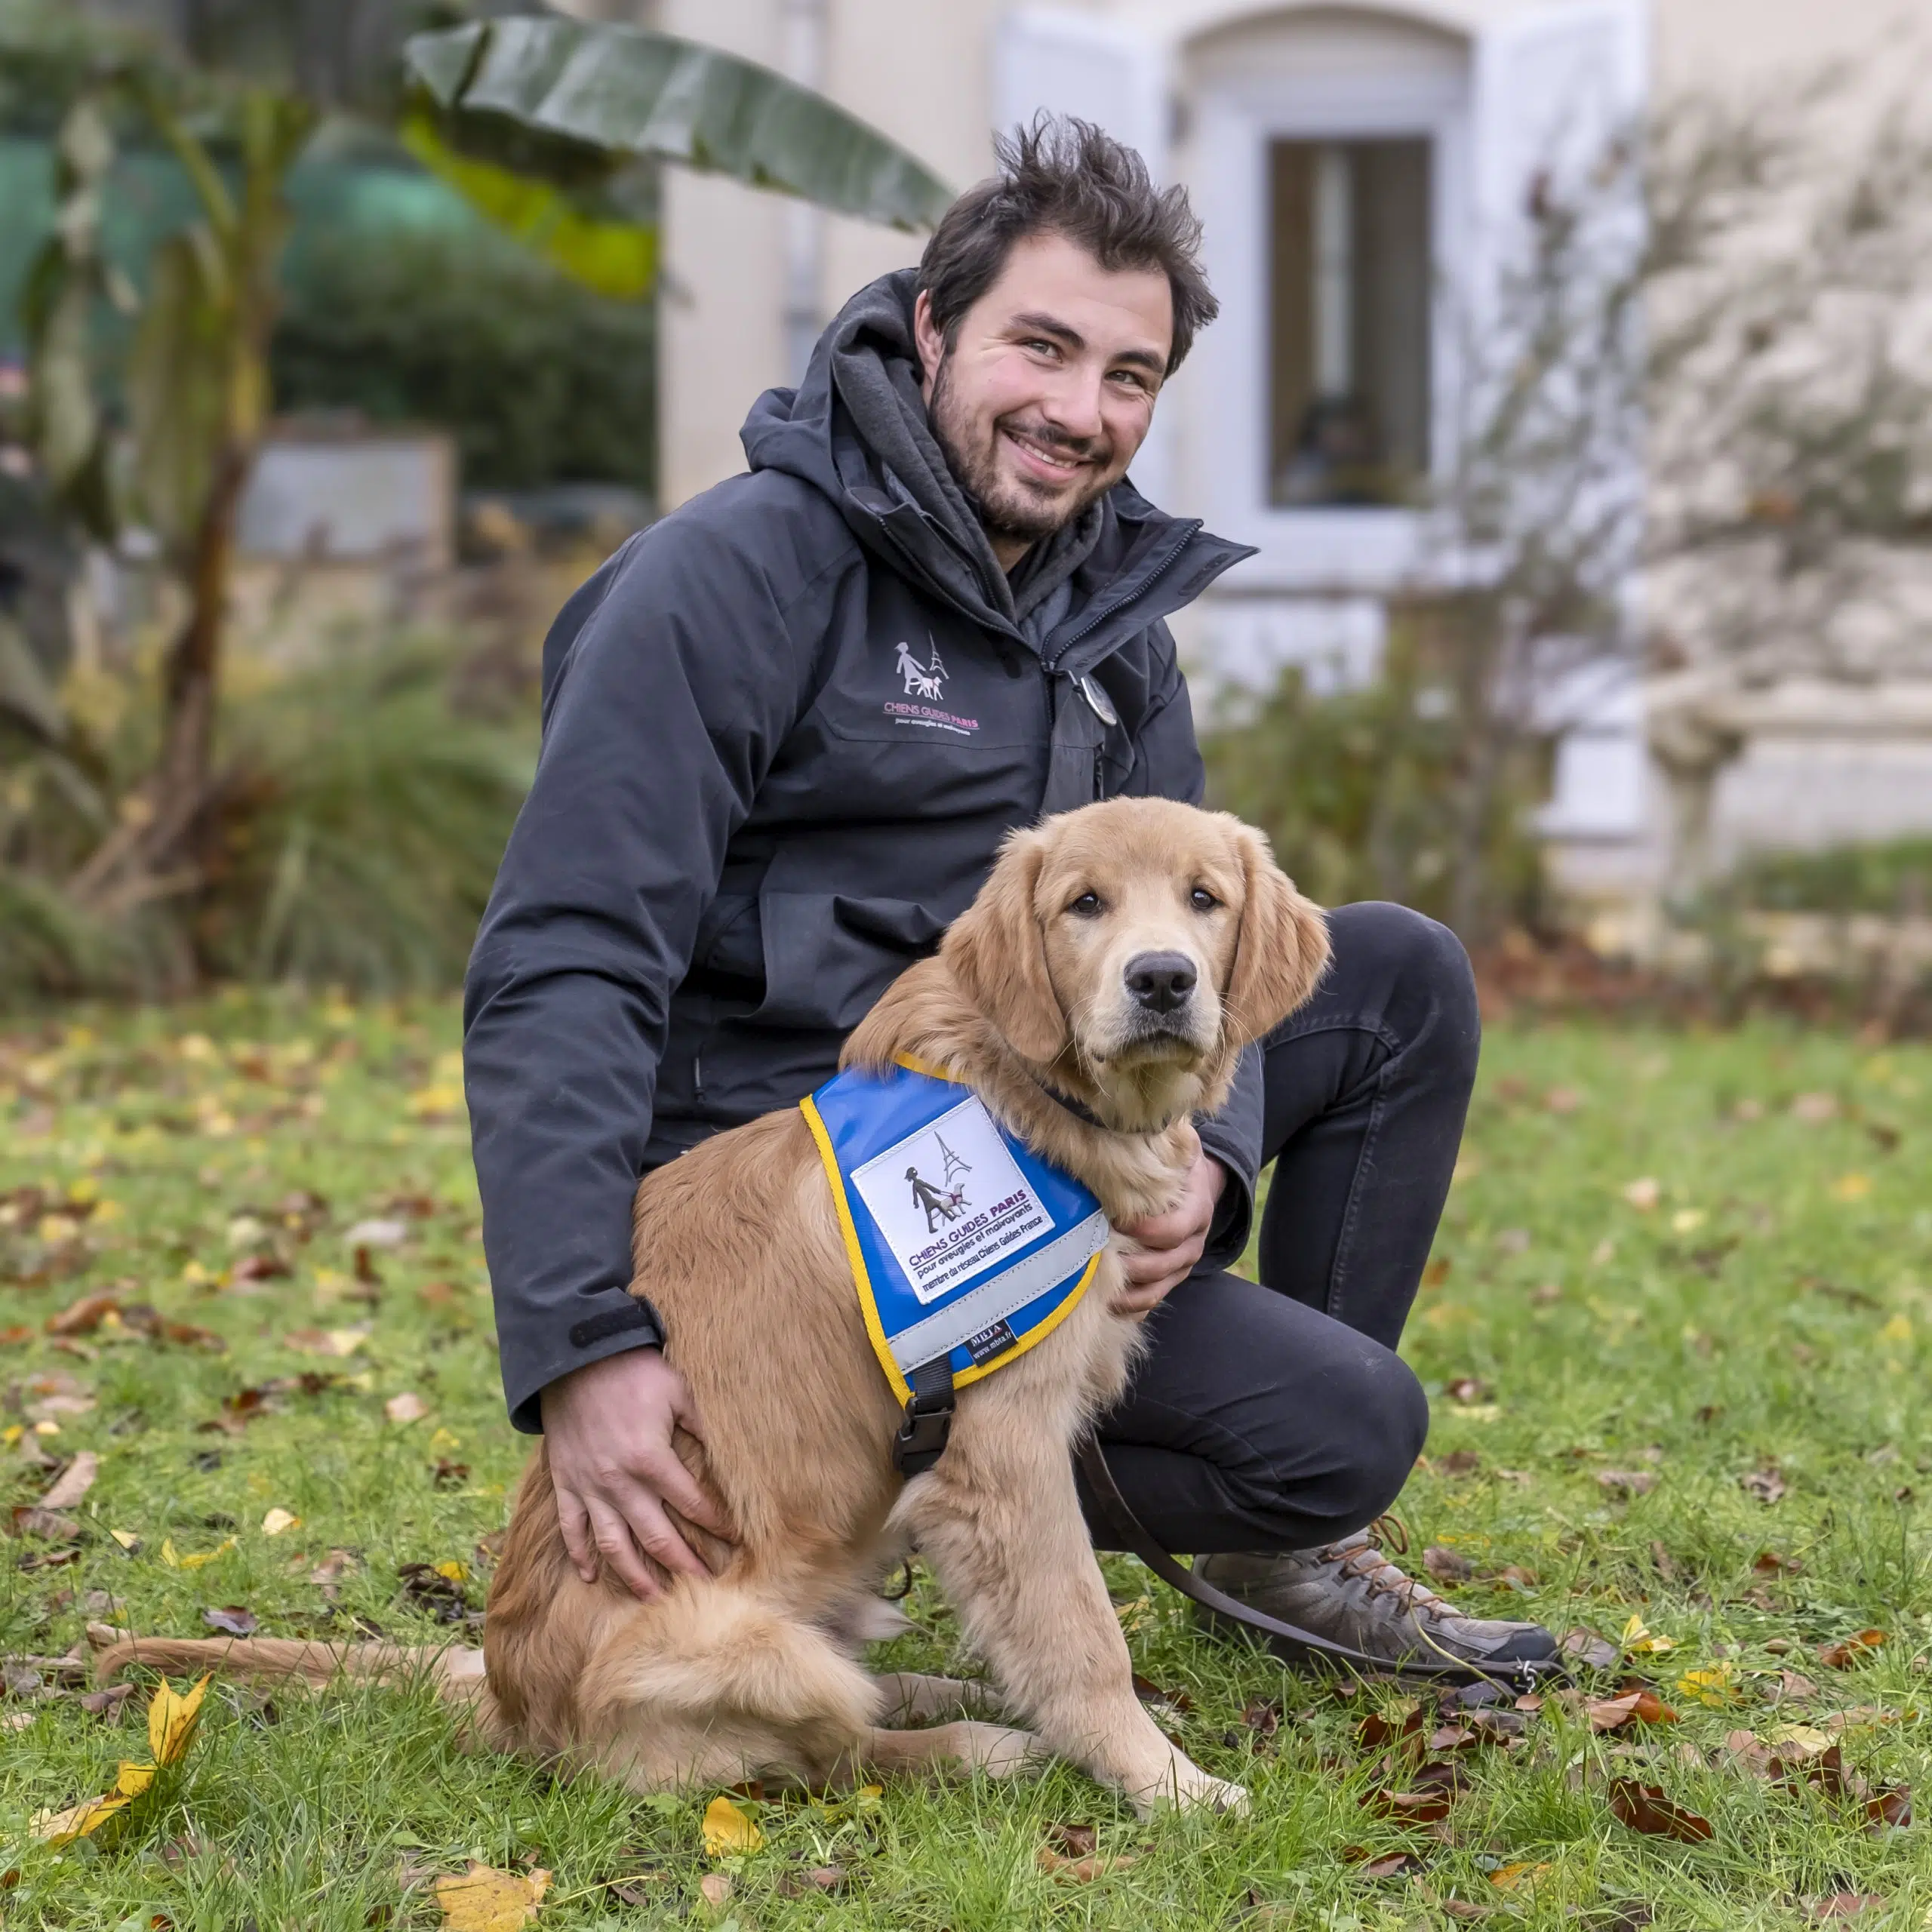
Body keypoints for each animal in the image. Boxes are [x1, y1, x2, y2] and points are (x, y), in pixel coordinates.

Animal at [91, 795, 1329, 1808]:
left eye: (1205, 899)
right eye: (1084, 905)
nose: (1162, 979)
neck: (1027, 1093)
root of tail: (507, 1693)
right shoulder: (1005, 1455)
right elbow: (1083, 1641)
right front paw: (1167, 1783)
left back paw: (935, 1689)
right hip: (748, 1644)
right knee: (832, 1753)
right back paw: (975, 1743)